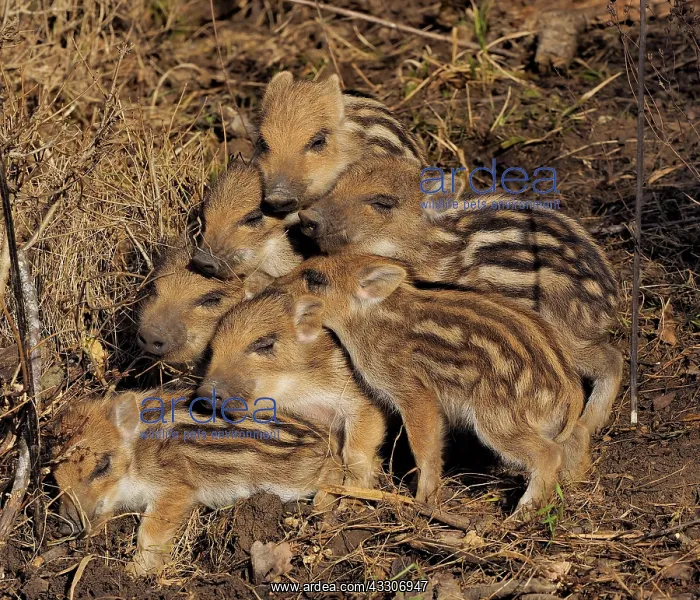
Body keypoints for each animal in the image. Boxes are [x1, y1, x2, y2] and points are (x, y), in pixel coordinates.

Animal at [52, 389, 345, 576]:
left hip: (292, 480)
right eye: (55, 477)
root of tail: (324, 437)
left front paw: (133, 574)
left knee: (336, 470)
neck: (136, 456)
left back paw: (322, 505)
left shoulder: (175, 488)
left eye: (102, 466)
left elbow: (149, 533)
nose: (67, 527)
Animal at [198, 289, 386, 490]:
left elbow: (355, 452)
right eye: (212, 349)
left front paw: (355, 487)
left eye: (265, 345)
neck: (298, 391)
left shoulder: (362, 404)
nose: (205, 392)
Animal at [274, 254, 590, 508]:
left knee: (549, 454)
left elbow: (423, 446)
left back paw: (521, 512)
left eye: (315, 278)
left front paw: (422, 501)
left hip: (497, 420)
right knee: (577, 436)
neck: (368, 321)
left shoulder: (412, 391)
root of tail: (568, 388)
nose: (276, 285)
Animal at [296, 157, 622, 435]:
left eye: (382, 202)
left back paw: (587, 425)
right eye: (337, 184)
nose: (307, 216)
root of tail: (609, 299)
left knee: (612, 358)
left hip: (568, 334)